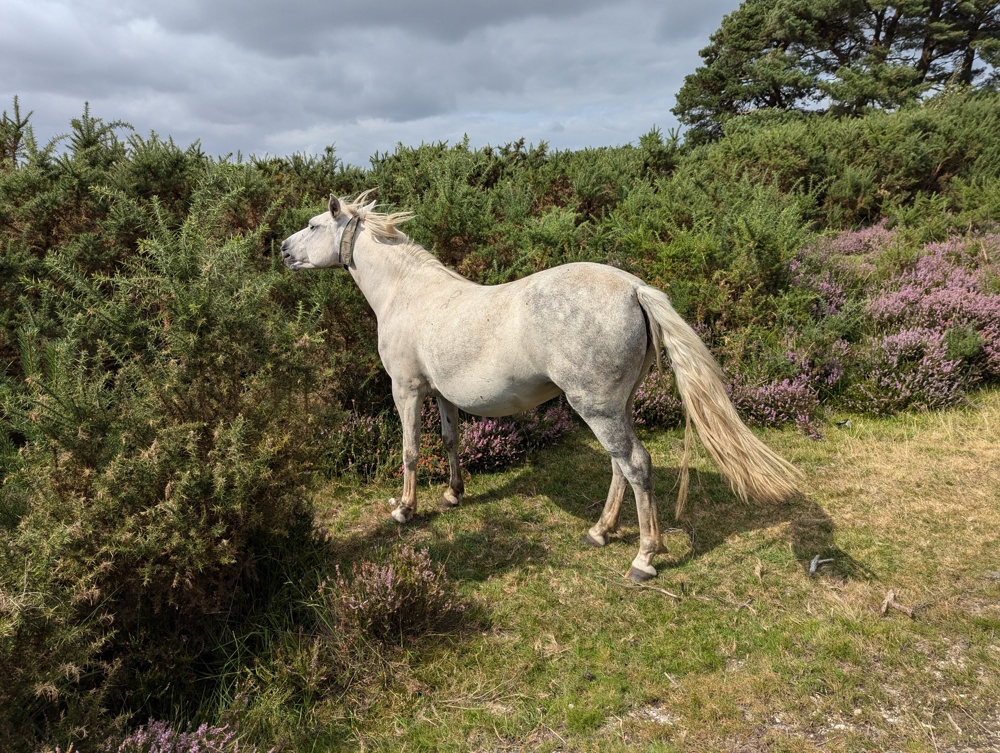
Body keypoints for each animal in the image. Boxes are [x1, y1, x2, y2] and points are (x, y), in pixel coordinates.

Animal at [282, 191, 796, 580]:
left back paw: (644, 558)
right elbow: (450, 441)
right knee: (621, 465)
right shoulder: (442, 394)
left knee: (636, 464)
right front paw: (453, 494)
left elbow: (410, 452)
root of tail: (634, 288)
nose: (283, 250)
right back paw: (600, 531)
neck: (407, 292)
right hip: (616, 405)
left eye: (312, 225)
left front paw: (405, 511)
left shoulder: (406, 390)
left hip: (596, 407)